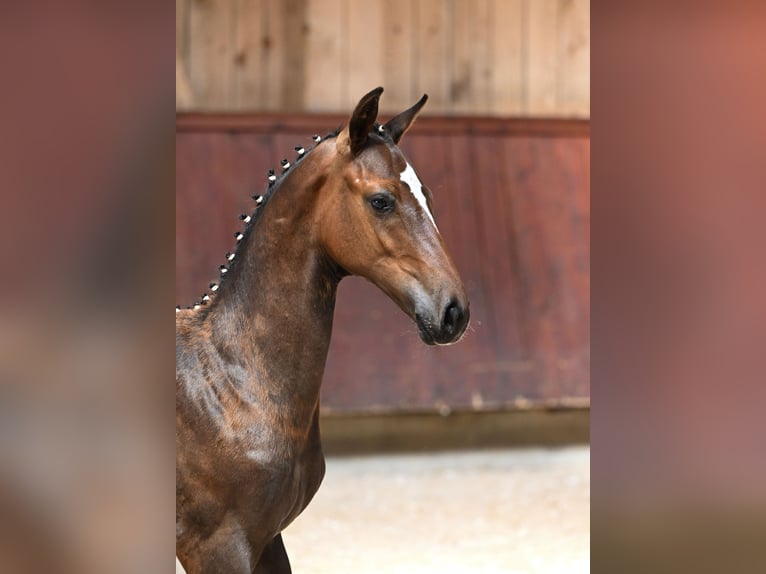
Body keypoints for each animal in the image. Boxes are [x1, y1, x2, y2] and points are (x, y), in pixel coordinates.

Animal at [177, 88, 472, 572]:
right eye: (381, 200)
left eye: (427, 194)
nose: (454, 312)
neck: (231, 382)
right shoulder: (218, 547)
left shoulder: (268, 540)